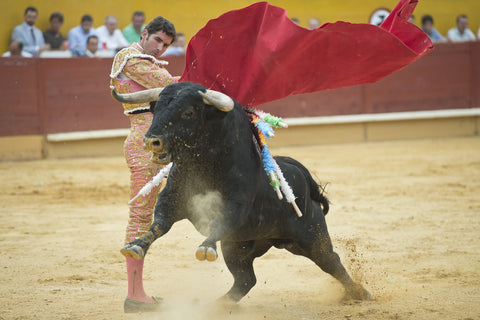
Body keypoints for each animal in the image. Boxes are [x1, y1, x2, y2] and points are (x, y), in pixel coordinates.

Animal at [112, 82, 372, 302]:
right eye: (155, 109)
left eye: (188, 113)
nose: (151, 141)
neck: (204, 166)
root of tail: (300, 173)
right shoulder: (171, 201)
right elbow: (159, 225)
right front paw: (135, 245)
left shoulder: (235, 208)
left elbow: (219, 223)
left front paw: (205, 247)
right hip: (238, 247)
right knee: (246, 280)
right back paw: (219, 306)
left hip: (311, 236)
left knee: (332, 262)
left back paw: (360, 293)